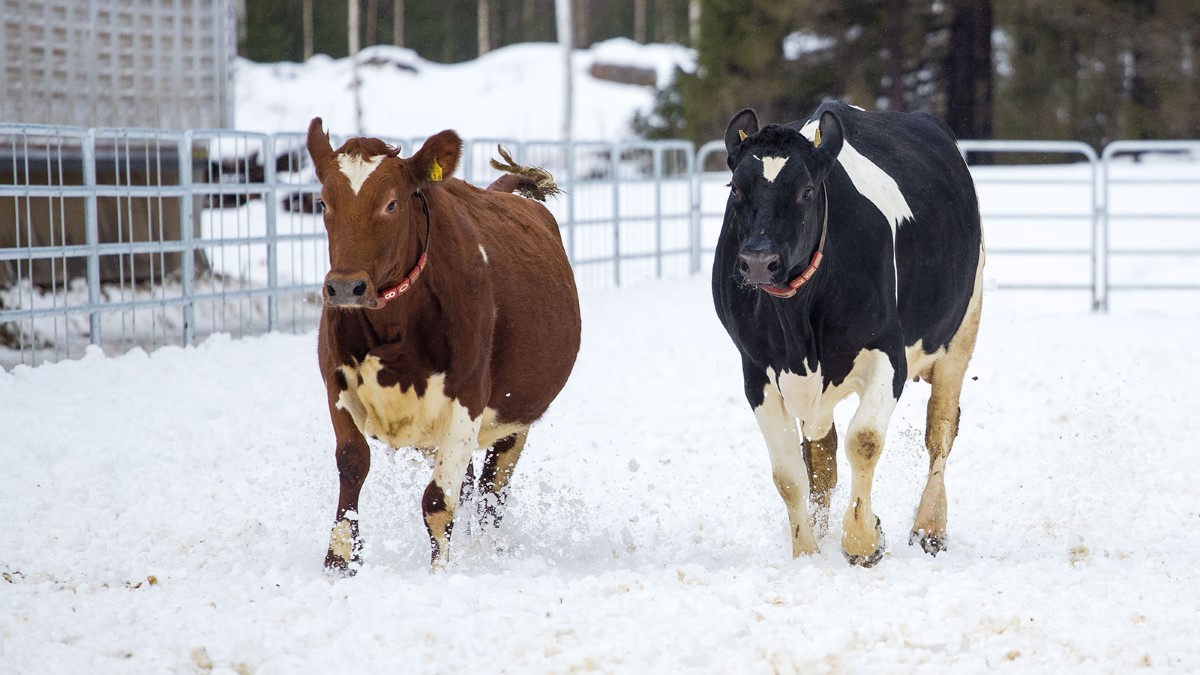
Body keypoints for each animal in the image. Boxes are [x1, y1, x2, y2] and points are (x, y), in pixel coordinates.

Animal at [307, 118, 583, 569]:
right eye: (323, 203)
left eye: (391, 204)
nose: (345, 287)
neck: (394, 328)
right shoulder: (337, 382)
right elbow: (352, 462)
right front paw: (339, 561)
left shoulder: (467, 398)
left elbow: (438, 502)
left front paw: (440, 572)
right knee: (471, 486)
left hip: (514, 418)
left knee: (490, 492)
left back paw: (486, 550)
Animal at [710, 98, 984, 562]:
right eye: (735, 189)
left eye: (806, 191)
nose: (759, 261)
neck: (797, 323)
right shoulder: (756, 370)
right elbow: (790, 473)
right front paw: (806, 552)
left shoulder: (888, 356)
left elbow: (865, 440)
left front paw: (863, 539)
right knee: (821, 457)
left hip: (961, 334)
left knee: (941, 432)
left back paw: (929, 528)